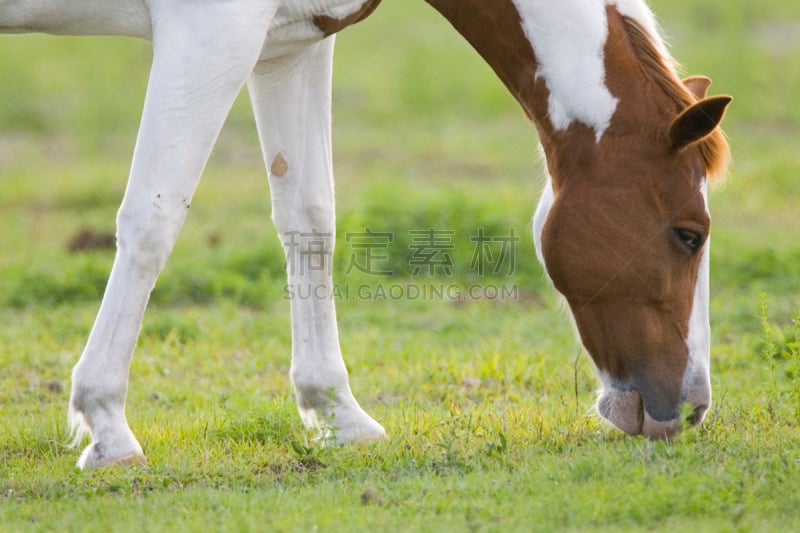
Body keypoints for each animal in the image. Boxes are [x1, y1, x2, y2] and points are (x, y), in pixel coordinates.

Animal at [0, 0, 732, 466]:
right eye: (688, 234)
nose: (693, 407)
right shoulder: (213, 30)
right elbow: (154, 217)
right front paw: (106, 426)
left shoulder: (290, 43)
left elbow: (309, 220)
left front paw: (336, 413)